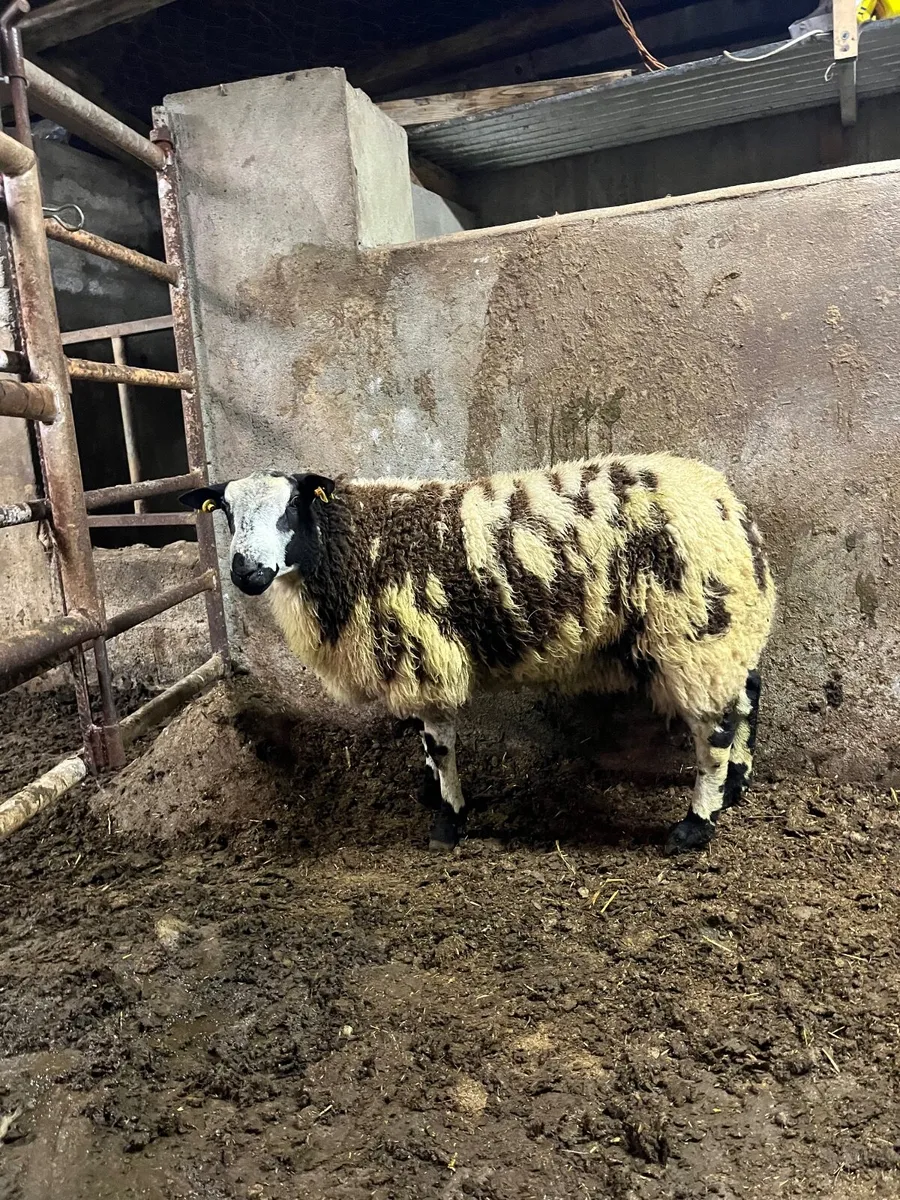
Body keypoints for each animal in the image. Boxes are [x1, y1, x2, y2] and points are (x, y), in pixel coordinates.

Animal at [181, 452, 775, 855]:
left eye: (290, 509)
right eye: (226, 512)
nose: (246, 573)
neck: (356, 546)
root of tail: (726, 503)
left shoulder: (425, 654)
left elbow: (438, 743)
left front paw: (448, 820)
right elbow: (425, 741)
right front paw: (430, 793)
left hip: (693, 632)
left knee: (714, 731)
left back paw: (696, 825)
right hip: (723, 628)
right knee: (746, 694)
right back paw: (736, 786)